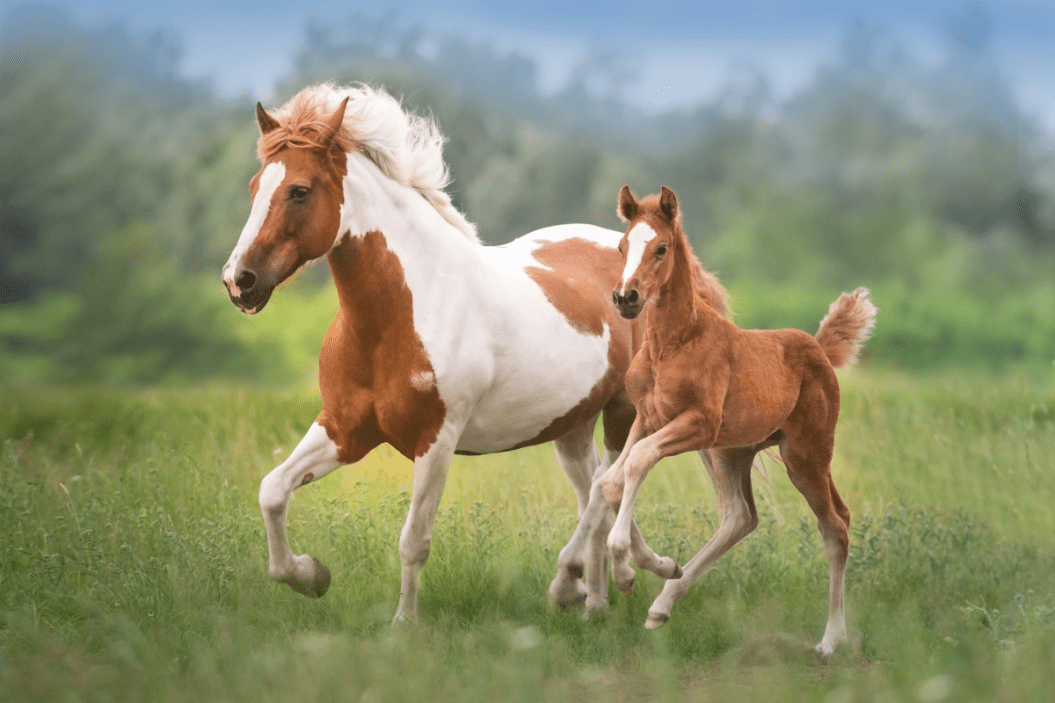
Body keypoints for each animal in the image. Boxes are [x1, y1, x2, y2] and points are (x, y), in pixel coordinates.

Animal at [220, 82, 668, 623]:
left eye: (300, 190)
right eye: (253, 187)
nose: (239, 281)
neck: (397, 318)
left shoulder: (436, 439)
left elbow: (414, 540)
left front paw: (403, 624)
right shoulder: (344, 430)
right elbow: (272, 491)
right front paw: (311, 575)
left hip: (621, 412)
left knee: (605, 491)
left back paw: (575, 583)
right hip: (572, 425)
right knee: (595, 497)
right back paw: (599, 599)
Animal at [601, 185, 877, 656]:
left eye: (661, 248)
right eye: (621, 246)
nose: (626, 298)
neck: (672, 343)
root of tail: (819, 349)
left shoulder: (699, 422)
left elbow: (637, 462)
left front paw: (625, 568)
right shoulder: (649, 417)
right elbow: (613, 481)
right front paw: (658, 565)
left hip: (804, 455)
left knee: (835, 526)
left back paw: (830, 640)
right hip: (734, 452)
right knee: (741, 517)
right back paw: (663, 604)